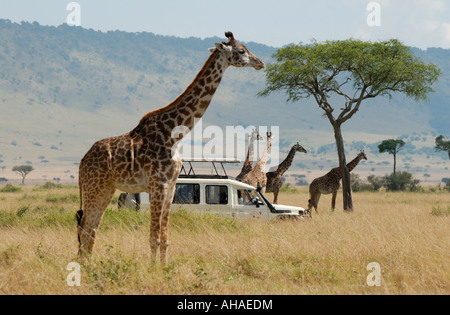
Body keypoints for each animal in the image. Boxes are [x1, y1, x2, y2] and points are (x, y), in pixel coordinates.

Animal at [76, 32, 266, 266]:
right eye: (241, 51)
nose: (260, 63)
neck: (175, 133)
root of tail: (82, 161)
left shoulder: (172, 186)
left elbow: (165, 237)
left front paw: (164, 267)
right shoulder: (158, 184)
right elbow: (154, 237)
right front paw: (153, 269)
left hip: (106, 189)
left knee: (91, 227)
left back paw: (88, 265)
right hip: (95, 187)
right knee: (85, 227)